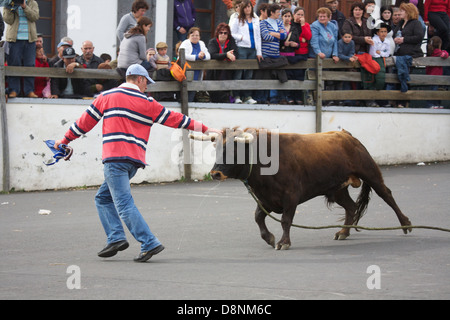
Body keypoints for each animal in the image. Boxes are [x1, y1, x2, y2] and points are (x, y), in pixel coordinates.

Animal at [190, 127, 412, 250]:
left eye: (234, 150)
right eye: (217, 149)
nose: (215, 174)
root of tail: (345, 135)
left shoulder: (291, 196)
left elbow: (286, 220)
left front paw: (283, 242)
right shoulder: (266, 198)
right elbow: (258, 217)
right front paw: (269, 238)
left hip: (370, 172)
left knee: (387, 195)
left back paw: (406, 224)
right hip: (336, 188)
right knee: (350, 206)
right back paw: (343, 232)